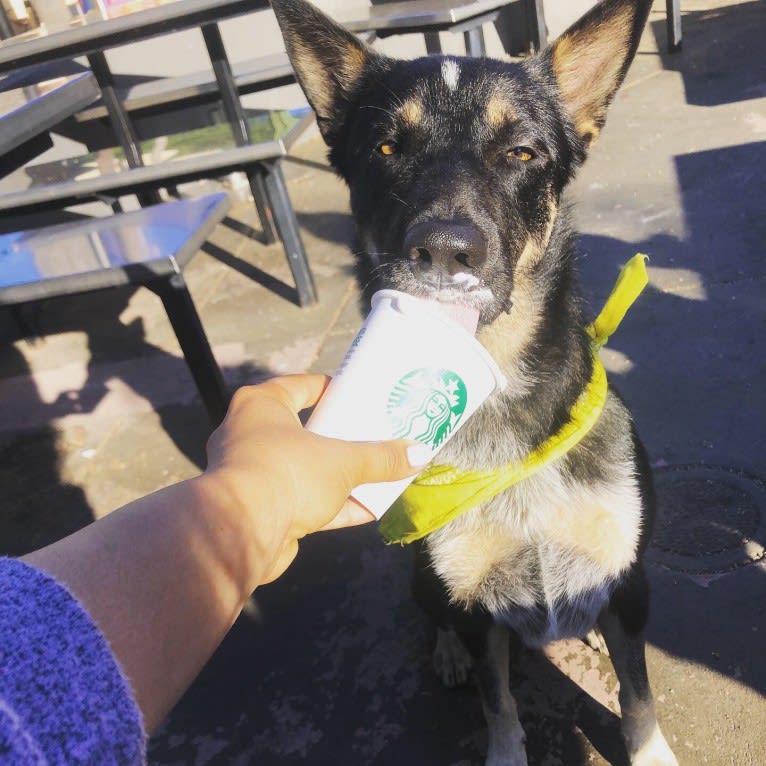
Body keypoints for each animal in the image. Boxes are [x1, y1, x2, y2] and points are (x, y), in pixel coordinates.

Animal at [272, 1, 680, 766]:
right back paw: (447, 655)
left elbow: (637, 693)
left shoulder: (629, 582)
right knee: (432, 616)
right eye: (385, 148)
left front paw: (649, 750)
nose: (443, 249)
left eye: (521, 152)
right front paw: (501, 738)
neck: (503, 413)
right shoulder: (471, 602)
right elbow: (498, 699)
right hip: (424, 579)